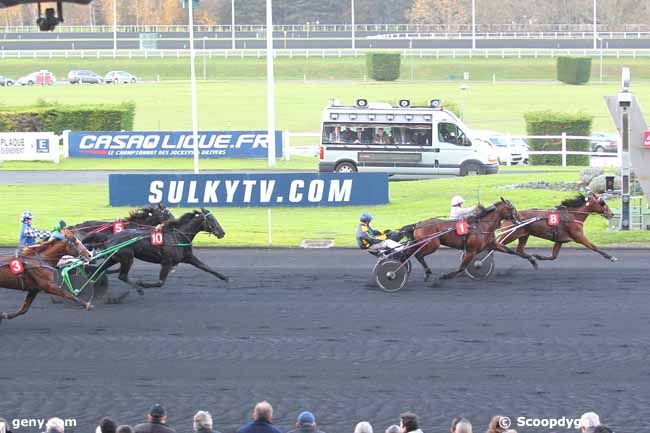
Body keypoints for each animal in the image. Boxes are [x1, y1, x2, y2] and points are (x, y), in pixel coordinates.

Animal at [86, 208, 228, 292]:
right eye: (212, 220)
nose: (222, 233)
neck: (177, 235)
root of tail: (109, 237)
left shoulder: (188, 257)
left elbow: (205, 267)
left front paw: (225, 277)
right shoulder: (167, 262)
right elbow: (160, 282)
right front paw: (142, 283)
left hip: (114, 258)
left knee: (100, 270)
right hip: (127, 258)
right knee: (121, 275)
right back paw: (139, 289)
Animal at [400, 197, 536, 282]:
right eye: (512, 208)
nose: (520, 219)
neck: (482, 226)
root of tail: (418, 224)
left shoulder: (492, 244)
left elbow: (512, 251)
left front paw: (533, 261)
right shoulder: (471, 251)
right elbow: (461, 267)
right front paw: (444, 276)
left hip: (421, 243)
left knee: (408, 253)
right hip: (431, 244)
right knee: (418, 255)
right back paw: (425, 273)